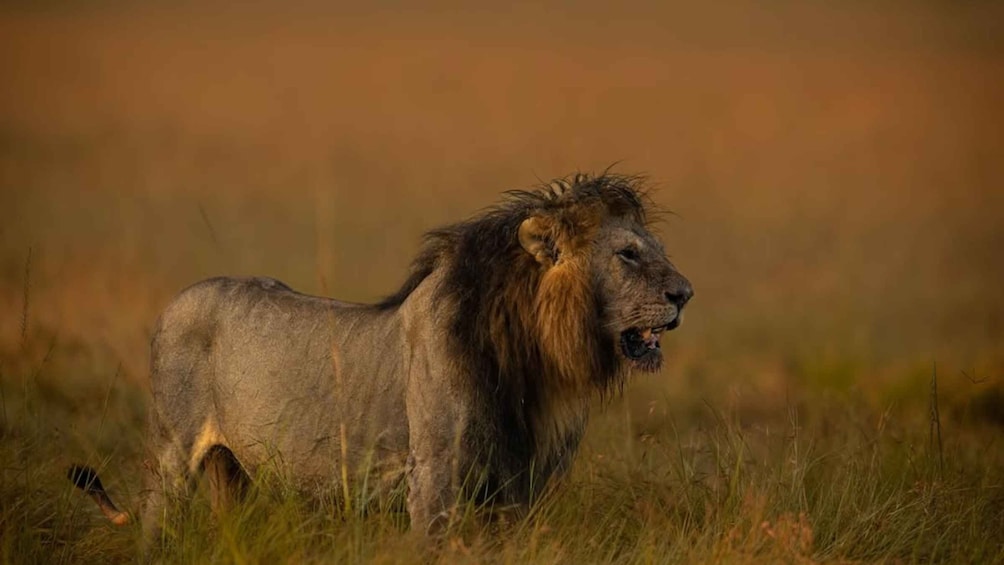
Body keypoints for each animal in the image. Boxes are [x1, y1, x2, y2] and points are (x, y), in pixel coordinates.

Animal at [69, 173, 693, 546]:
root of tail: (177, 299)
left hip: (232, 470)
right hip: (173, 453)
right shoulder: (435, 475)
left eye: (657, 251)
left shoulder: (519, 485)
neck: (534, 356)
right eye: (628, 254)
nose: (685, 294)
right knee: (158, 517)